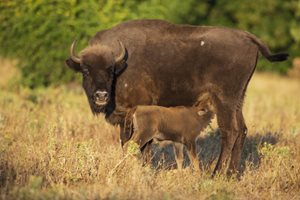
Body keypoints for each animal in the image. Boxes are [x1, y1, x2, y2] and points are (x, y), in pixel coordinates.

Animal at [65, 18, 288, 175]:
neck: (122, 65)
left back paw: (216, 174)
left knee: (230, 131)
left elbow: (143, 145)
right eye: (86, 70)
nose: (101, 95)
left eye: (110, 69)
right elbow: (126, 142)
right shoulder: (125, 119)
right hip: (238, 100)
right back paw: (231, 175)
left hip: (224, 101)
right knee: (242, 130)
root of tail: (247, 36)